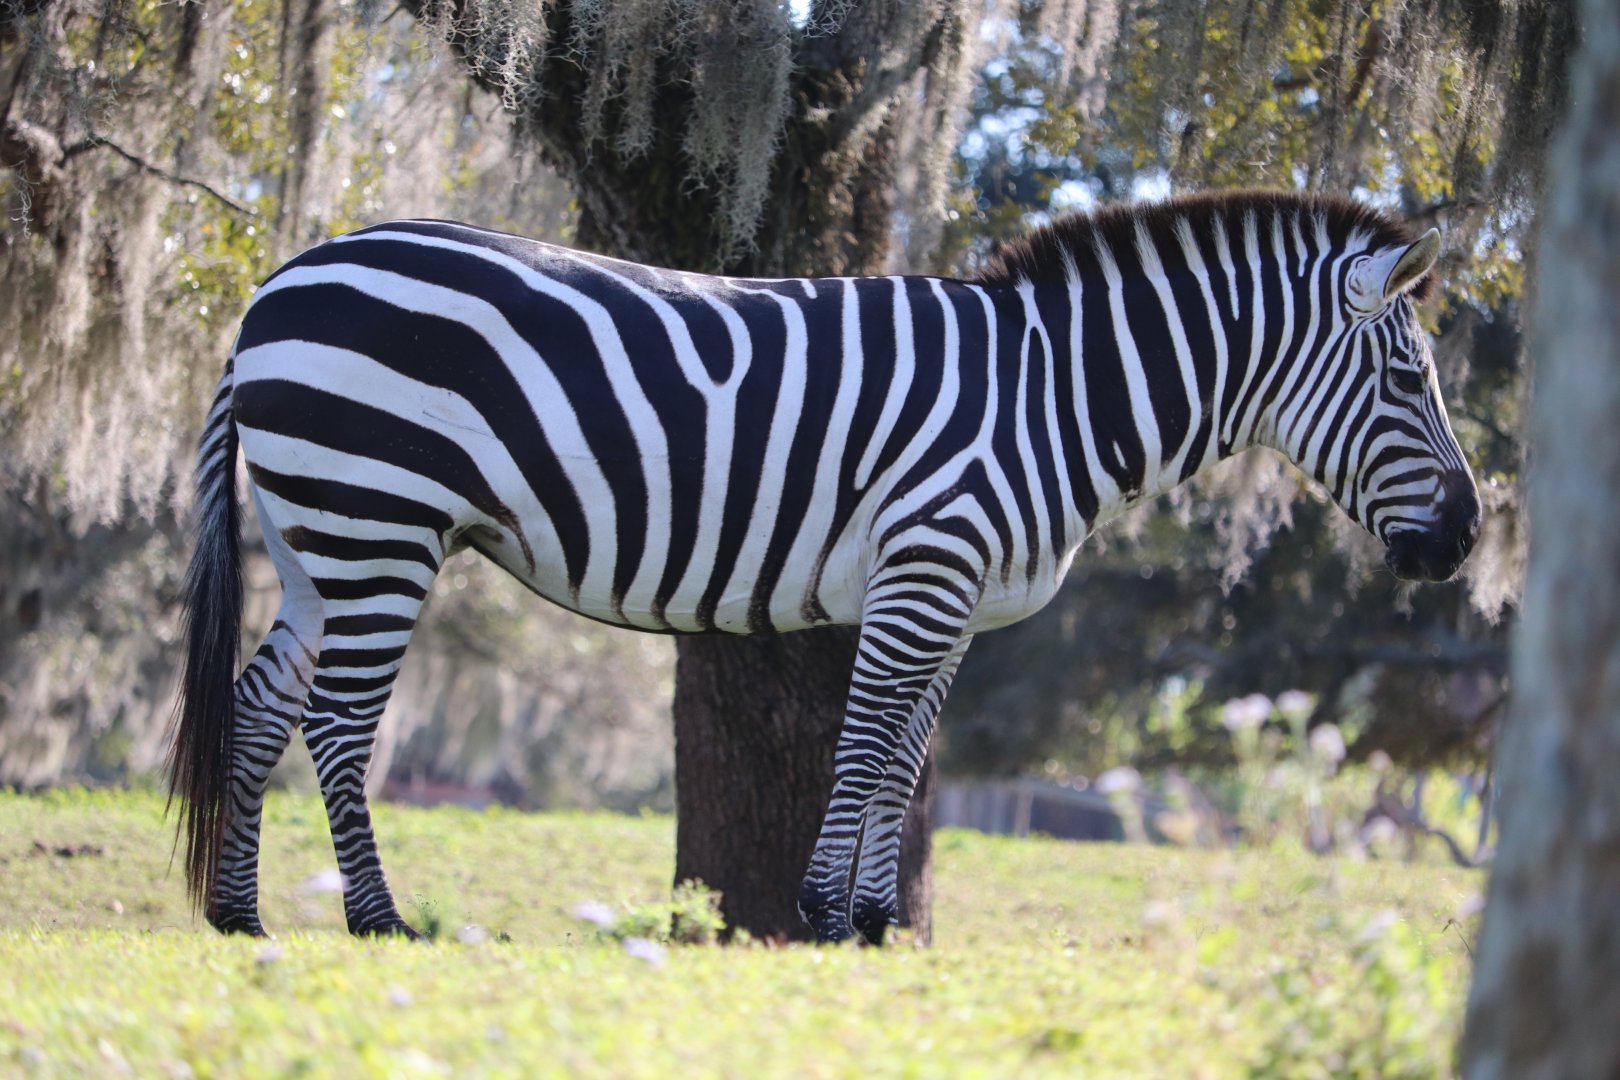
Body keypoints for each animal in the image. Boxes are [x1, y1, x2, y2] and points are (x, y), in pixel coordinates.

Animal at [168, 190, 1480, 943]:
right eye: (1409, 380)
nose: (1468, 539)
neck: (1054, 396)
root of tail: (275, 286)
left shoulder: (956, 602)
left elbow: (901, 763)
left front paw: (873, 923)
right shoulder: (925, 565)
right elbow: (863, 750)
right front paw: (821, 915)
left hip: (315, 535)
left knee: (261, 702)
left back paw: (239, 916)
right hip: (377, 519)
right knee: (339, 723)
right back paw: (381, 921)